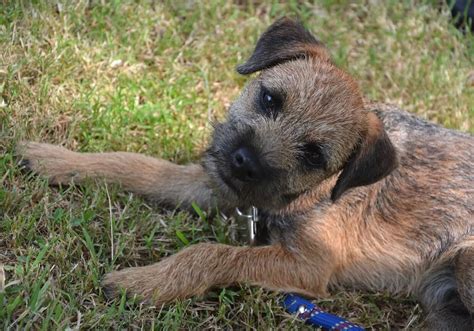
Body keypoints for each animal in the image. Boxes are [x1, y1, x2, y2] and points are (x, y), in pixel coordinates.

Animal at [16, 18, 472, 331]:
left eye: (314, 154)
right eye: (270, 98)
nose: (244, 161)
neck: (318, 192)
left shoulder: (309, 266)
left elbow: (212, 253)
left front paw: (144, 283)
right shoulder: (220, 186)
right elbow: (140, 166)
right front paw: (57, 159)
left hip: (465, 259)